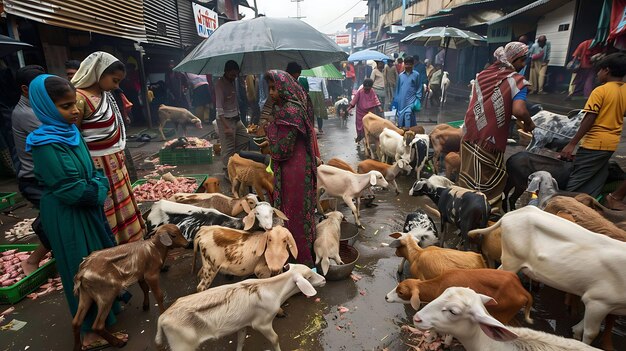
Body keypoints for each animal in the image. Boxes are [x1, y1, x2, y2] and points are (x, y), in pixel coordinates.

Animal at [155, 264, 324, 351]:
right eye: (309, 277)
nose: (323, 279)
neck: (272, 289)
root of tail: (163, 317)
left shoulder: (243, 324)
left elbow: (241, 341)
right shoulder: (262, 323)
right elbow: (275, 339)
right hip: (181, 344)